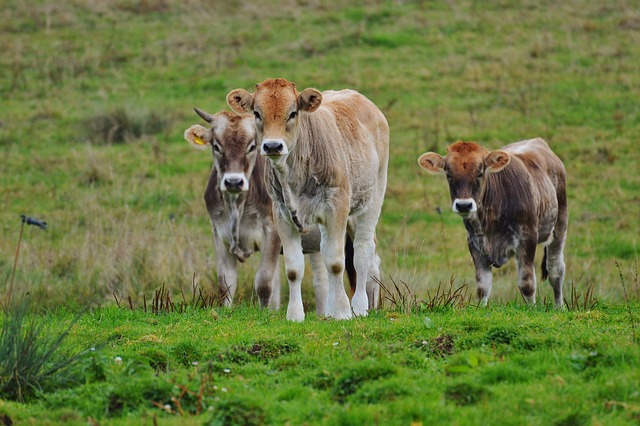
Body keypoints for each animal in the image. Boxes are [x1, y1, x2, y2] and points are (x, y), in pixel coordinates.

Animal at [225, 78, 388, 322]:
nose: (272, 146)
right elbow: (294, 269)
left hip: (372, 198)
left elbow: (336, 262)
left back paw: (360, 306)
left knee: (362, 252)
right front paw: (295, 314)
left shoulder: (337, 206)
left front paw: (342, 311)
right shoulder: (281, 214)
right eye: (257, 113)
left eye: (293, 113)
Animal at [418, 138, 568, 308]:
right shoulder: (475, 243)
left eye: (480, 173)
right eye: (449, 174)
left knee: (555, 269)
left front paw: (532, 309)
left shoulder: (527, 238)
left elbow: (527, 284)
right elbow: (483, 286)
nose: (464, 205)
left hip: (560, 225)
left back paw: (559, 306)